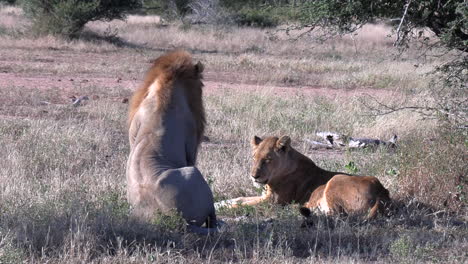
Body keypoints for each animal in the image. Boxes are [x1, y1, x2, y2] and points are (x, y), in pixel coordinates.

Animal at [216, 135, 392, 220]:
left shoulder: (272, 202)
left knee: (336, 215)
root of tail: (381, 191)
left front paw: (221, 208)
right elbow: (239, 199)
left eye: (267, 159)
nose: (254, 176)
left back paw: (298, 209)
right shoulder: (264, 196)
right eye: (254, 158)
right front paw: (219, 203)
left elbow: (240, 204)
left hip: (335, 179)